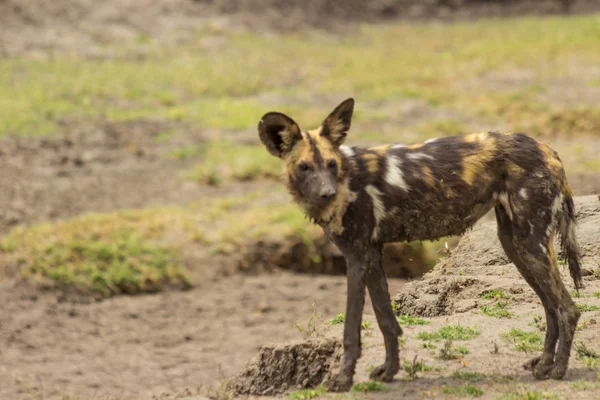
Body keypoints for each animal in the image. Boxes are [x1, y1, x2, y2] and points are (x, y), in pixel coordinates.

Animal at [256, 98, 580, 392]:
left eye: (332, 164)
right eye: (304, 167)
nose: (327, 193)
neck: (346, 178)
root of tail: (548, 149)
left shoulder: (356, 257)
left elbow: (351, 329)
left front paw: (343, 380)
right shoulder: (372, 254)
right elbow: (386, 320)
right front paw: (389, 370)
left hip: (531, 243)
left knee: (568, 308)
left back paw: (558, 369)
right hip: (515, 245)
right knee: (551, 307)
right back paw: (544, 363)